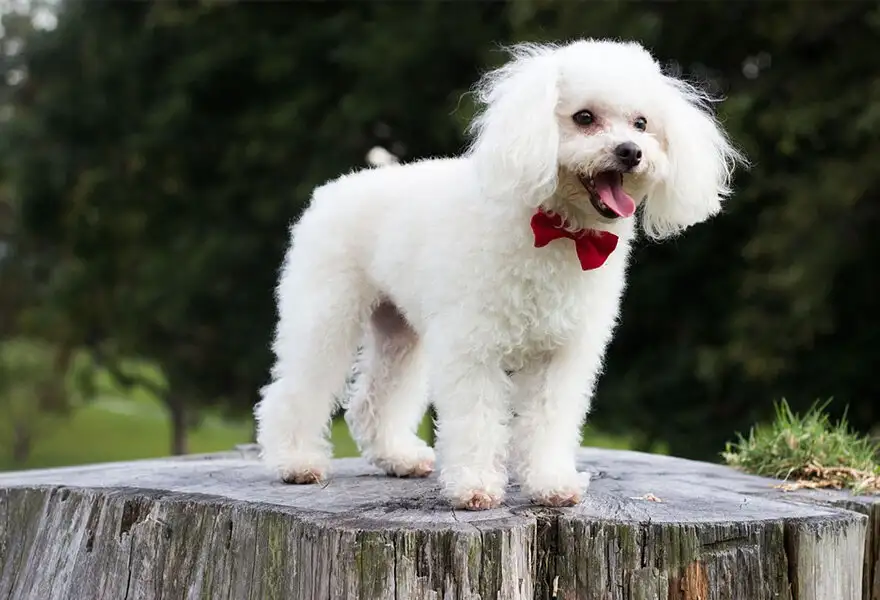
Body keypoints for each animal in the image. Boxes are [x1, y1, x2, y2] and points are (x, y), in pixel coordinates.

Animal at [254, 37, 744, 508]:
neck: (557, 229)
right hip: (326, 313)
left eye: (642, 123)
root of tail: (333, 189)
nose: (630, 152)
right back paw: (296, 462)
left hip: (399, 330)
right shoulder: (472, 348)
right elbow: (476, 420)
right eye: (584, 118)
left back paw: (400, 457)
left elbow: (548, 420)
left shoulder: (561, 354)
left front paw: (551, 484)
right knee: (295, 390)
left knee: (373, 401)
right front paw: (474, 487)